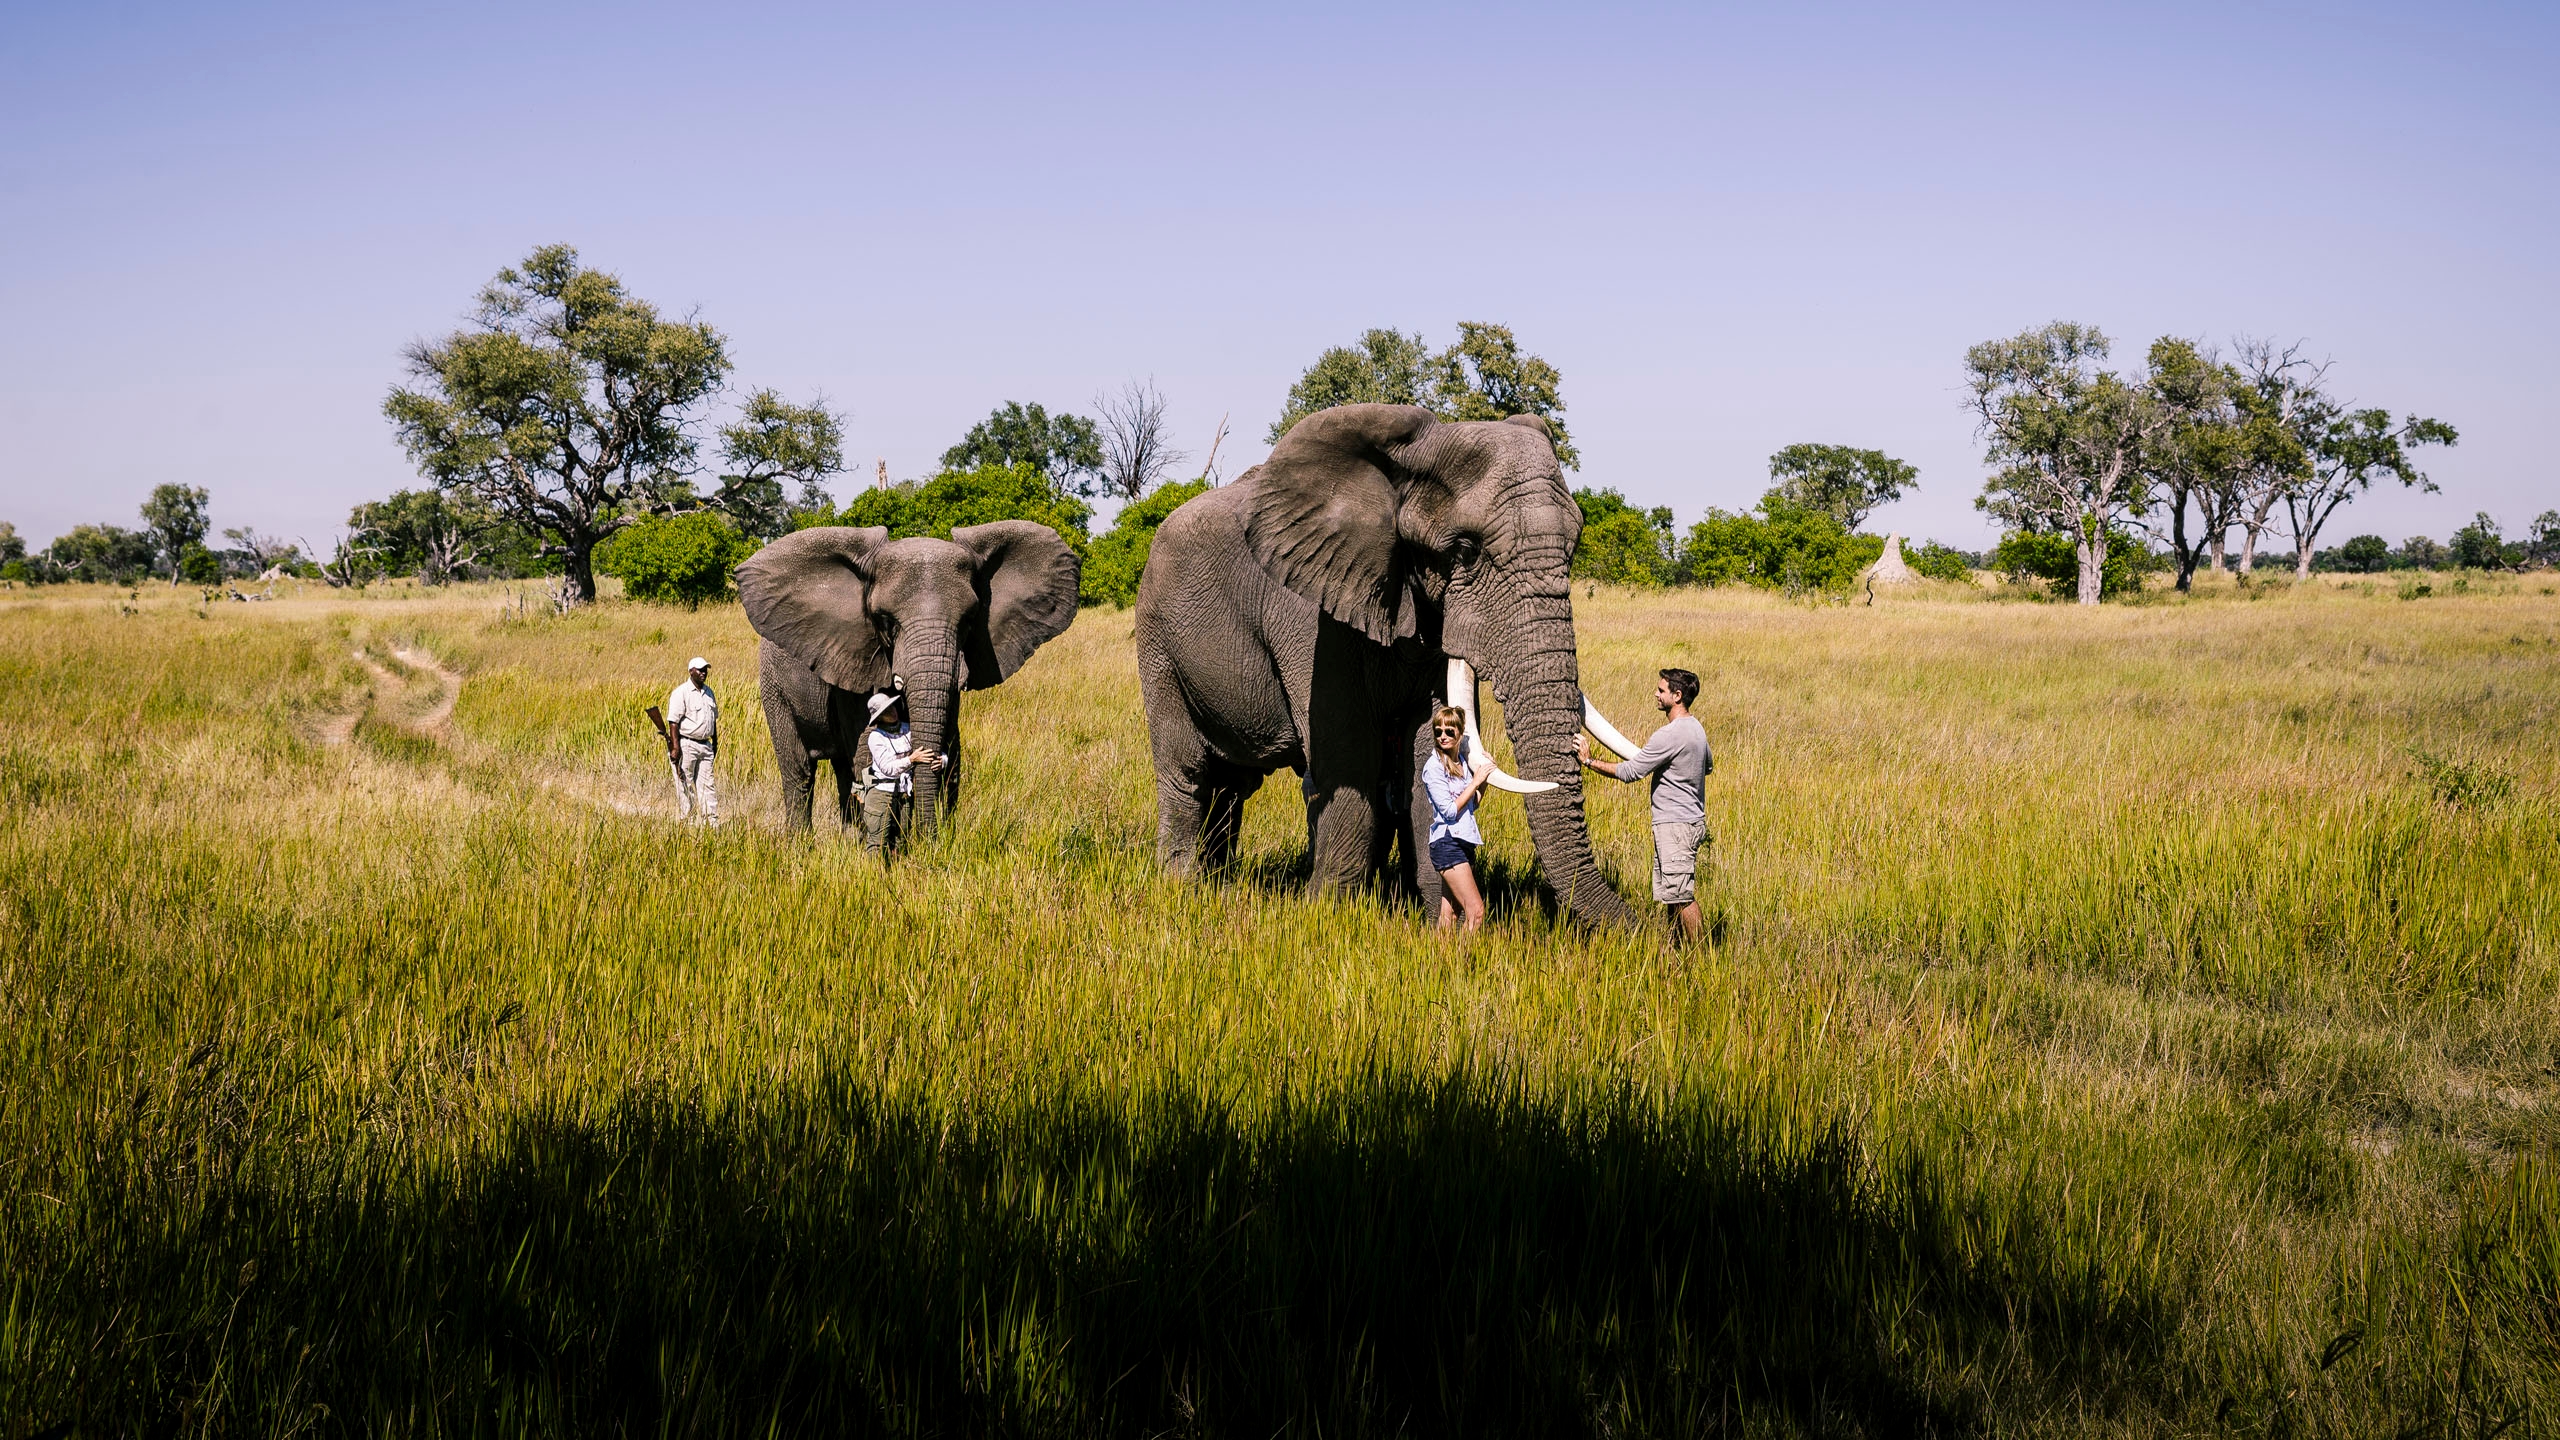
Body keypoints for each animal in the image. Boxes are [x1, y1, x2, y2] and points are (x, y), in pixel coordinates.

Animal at [736, 520, 1080, 840]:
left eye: (969, 620)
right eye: (886, 621)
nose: (927, 840)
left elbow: (953, 753)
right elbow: (865, 748)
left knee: (842, 769)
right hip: (773, 685)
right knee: (801, 771)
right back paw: (802, 845)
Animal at [1134, 403, 1644, 924]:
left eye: (1574, 547)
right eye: (1465, 551)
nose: (1651, 927)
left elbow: (1427, 751)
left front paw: (1437, 919)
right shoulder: (1311, 612)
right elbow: (1349, 759)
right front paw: (1327, 915)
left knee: (1234, 784)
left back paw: (1219, 882)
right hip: (1158, 639)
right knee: (1187, 772)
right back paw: (1183, 887)